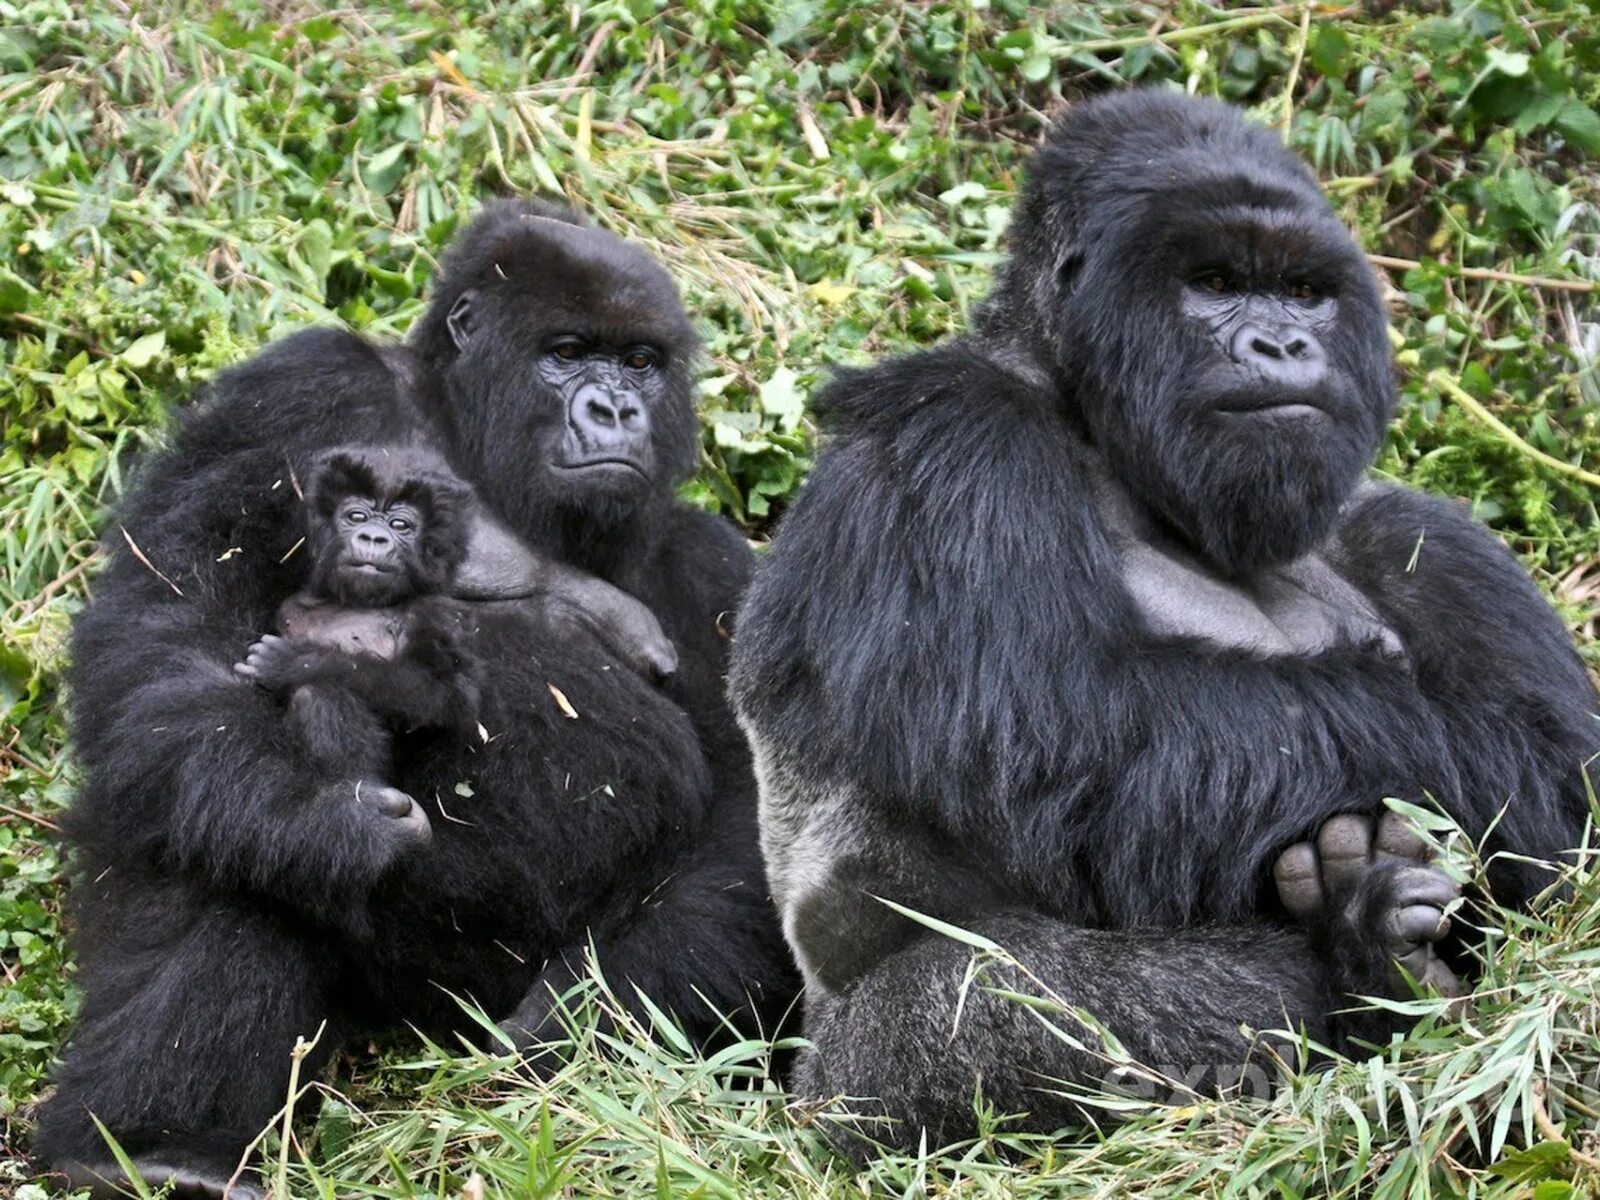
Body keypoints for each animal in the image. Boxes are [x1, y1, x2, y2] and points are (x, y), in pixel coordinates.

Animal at [233, 448, 675, 832]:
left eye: (400, 525)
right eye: (356, 516)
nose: (373, 537)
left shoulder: (431, 611)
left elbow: (443, 691)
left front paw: (293, 662)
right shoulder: (292, 608)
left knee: (321, 693)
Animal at [729, 89, 1600, 1152]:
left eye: (1303, 292)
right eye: (1214, 282)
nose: (1283, 347)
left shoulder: (1425, 537)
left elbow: (1572, 761)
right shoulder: (943, 432)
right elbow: (1064, 725)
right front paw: (1473, 767)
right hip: (837, 1091)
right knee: (1007, 1011)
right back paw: (1363, 961)